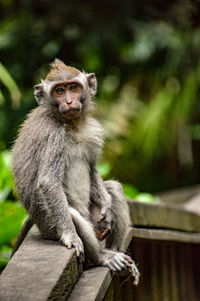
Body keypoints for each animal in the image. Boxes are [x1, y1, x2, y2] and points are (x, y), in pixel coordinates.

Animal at [12, 58, 140, 284]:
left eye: (73, 87)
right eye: (59, 91)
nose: (69, 102)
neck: (71, 123)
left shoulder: (92, 130)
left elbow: (92, 168)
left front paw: (106, 205)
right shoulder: (53, 135)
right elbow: (48, 182)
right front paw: (72, 237)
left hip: (96, 222)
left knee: (114, 188)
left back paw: (117, 252)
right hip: (51, 228)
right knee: (72, 214)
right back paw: (101, 257)